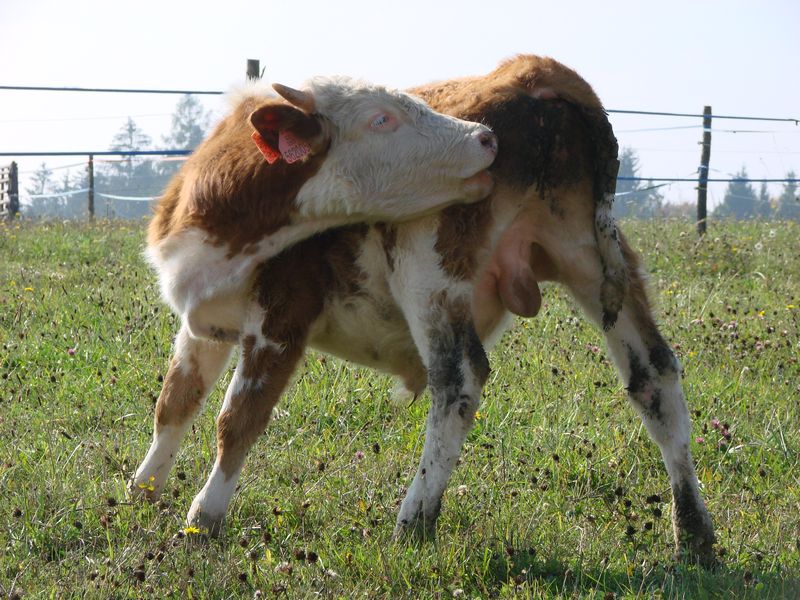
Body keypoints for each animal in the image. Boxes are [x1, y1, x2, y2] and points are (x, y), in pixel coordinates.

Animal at [134, 56, 716, 568]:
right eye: (382, 117)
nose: (484, 138)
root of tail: (534, 71)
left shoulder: (282, 315)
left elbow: (238, 419)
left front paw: (203, 518)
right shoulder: (203, 324)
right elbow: (175, 402)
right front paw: (142, 491)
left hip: (429, 267)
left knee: (459, 381)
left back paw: (413, 521)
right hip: (591, 261)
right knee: (656, 377)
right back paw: (693, 532)